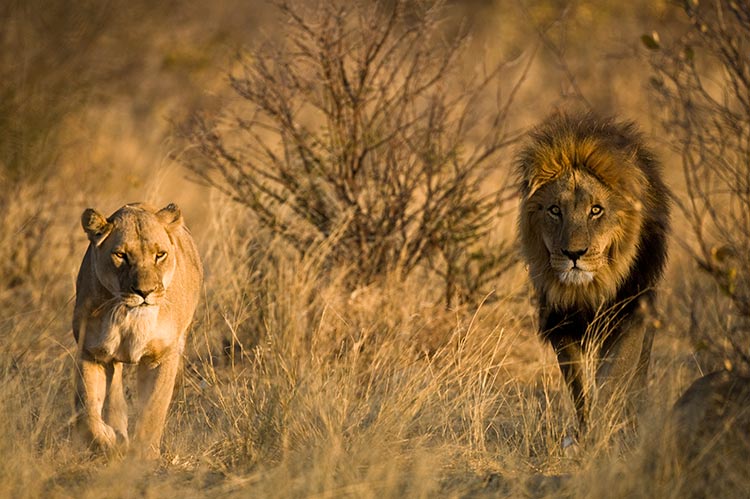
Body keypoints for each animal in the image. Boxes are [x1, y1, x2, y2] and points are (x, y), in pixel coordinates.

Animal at [73, 203, 203, 458]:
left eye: (160, 254)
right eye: (121, 255)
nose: (145, 292)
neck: (130, 319)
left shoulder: (162, 356)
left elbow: (153, 410)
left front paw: (143, 457)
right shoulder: (91, 352)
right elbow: (87, 412)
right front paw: (109, 440)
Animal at [516, 112, 670, 435]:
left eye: (596, 210)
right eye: (554, 210)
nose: (573, 254)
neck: (590, 289)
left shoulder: (629, 316)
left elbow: (612, 381)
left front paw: (603, 433)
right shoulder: (560, 324)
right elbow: (579, 387)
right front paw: (587, 430)